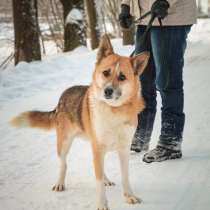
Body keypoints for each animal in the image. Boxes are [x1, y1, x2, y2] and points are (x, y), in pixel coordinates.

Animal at [11, 35, 149, 210]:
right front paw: (102, 204)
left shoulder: (123, 149)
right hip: (64, 143)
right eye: (106, 73)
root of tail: (62, 97)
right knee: (64, 164)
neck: (113, 110)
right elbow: (98, 181)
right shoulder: (98, 147)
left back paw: (106, 179)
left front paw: (129, 196)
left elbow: (125, 177)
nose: (107, 91)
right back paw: (60, 183)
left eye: (122, 77)